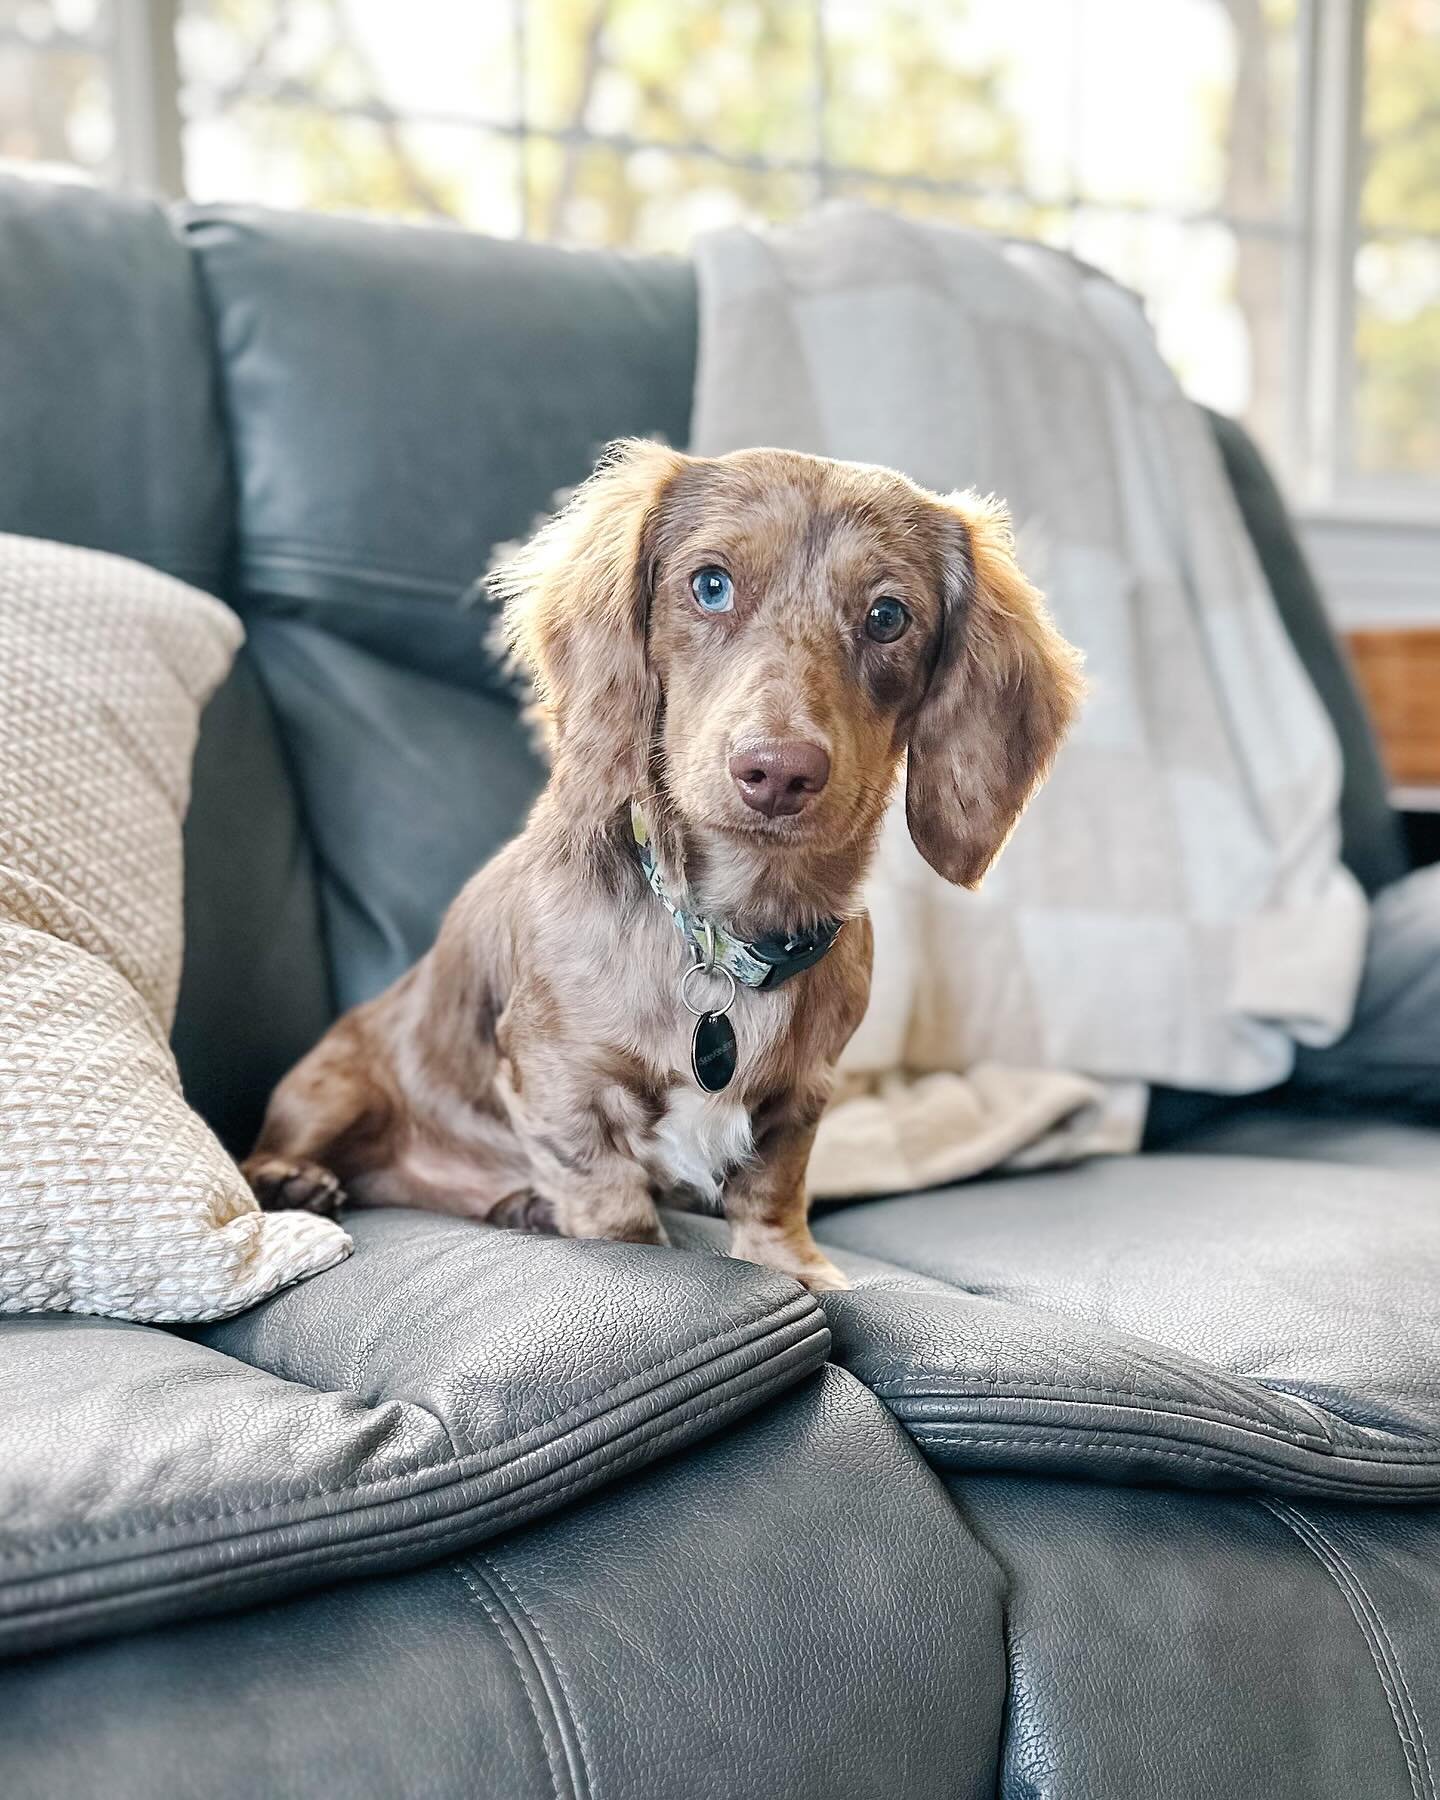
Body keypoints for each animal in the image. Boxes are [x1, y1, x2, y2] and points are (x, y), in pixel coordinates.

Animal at [243, 441, 1083, 1291]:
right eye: (710, 585)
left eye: (888, 617)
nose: (779, 772)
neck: (727, 933)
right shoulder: (559, 1078)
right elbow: (608, 1194)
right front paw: (641, 1253)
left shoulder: (803, 1094)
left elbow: (775, 1188)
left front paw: (796, 1266)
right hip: (329, 1089)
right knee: (266, 1152)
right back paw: (296, 1180)